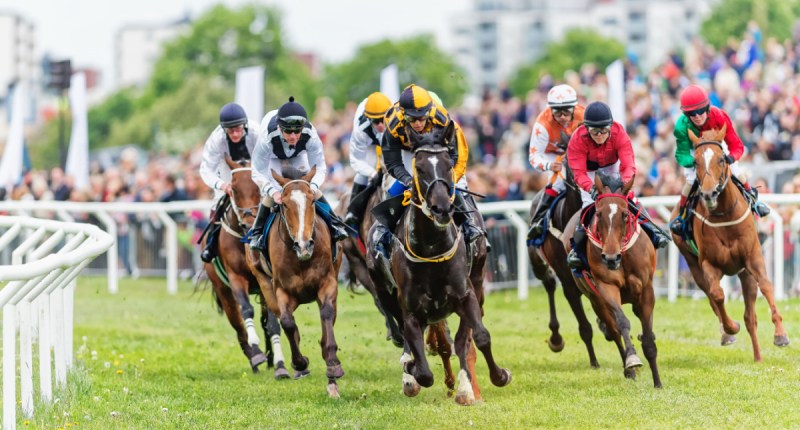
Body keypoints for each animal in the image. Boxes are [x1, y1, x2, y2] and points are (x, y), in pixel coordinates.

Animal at [202, 156, 290, 378]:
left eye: (258, 187)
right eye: (233, 188)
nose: (249, 222)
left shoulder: (268, 280)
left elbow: (272, 323)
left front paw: (280, 364)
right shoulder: (235, 277)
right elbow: (246, 310)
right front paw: (257, 353)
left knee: (265, 322)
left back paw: (270, 358)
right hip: (223, 291)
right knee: (238, 325)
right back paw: (254, 358)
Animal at [245, 166, 342, 398]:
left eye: (313, 201)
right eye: (285, 204)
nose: (304, 244)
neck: (301, 259)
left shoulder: (328, 283)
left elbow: (327, 316)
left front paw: (333, 367)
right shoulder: (281, 290)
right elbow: (287, 323)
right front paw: (300, 363)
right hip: (264, 284)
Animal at [564, 173, 664, 388]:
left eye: (625, 214)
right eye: (599, 214)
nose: (610, 258)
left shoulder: (646, 290)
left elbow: (648, 338)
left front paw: (658, 383)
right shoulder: (606, 287)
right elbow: (622, 323)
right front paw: (632, 360)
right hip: (595, 300)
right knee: (614, 329)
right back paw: (629, 369)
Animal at [672, 125, 792, 360]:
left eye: (721, 159)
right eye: (696, 162)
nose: (709, 193)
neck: (723, 215)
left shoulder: (753, 258)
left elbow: (766, 286)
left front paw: (781, 335)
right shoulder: (709, 264)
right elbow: (718, 295)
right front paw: (730, 328)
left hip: (744, 274)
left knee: (750, 317)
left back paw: (758, 358)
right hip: (692, 264)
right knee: (711, 296)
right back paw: (727, 334)